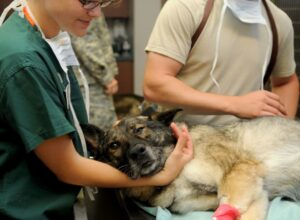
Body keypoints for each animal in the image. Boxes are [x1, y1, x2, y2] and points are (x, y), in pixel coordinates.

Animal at [81, 108, 300, 220]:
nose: (137, 152)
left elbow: (230, 202)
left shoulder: (237, 170)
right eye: (114, 145)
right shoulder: (255, 193)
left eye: (139, 129)